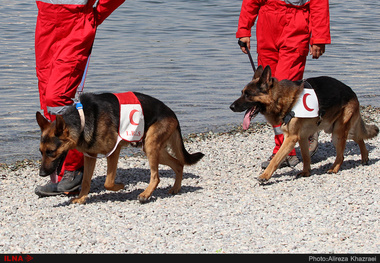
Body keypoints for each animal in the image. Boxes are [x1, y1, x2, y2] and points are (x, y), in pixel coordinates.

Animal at [230, 65, 378, 183]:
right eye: (242, 93)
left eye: (248, 95)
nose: (231, 107)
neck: (280, 98)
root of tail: (351, 91)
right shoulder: (302, 137)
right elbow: (306, 157)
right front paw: (306, 172)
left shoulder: (290, 138)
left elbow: (276, 159)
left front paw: (265, 176)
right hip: (335, 129)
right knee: (359, 137)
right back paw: (365, 157)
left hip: (338, 133)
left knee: (341, 156)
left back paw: (334, 168)